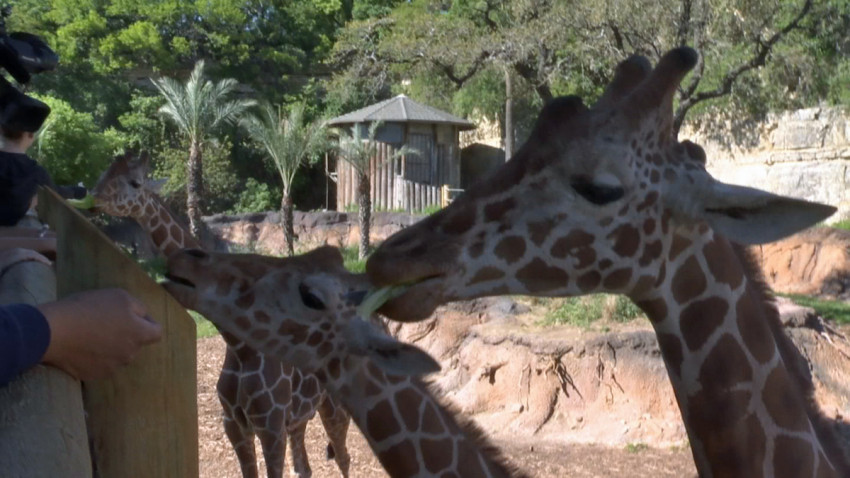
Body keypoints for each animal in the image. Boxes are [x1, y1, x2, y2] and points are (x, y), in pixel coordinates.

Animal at [88, 154, 348, 478]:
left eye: (135, 182)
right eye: (105, 172)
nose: (94, 199)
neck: (238, 344)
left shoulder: (271, 426)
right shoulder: (235, 425)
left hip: (334, 408)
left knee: (344, 458)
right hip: (300, 416)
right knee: (305, 467)